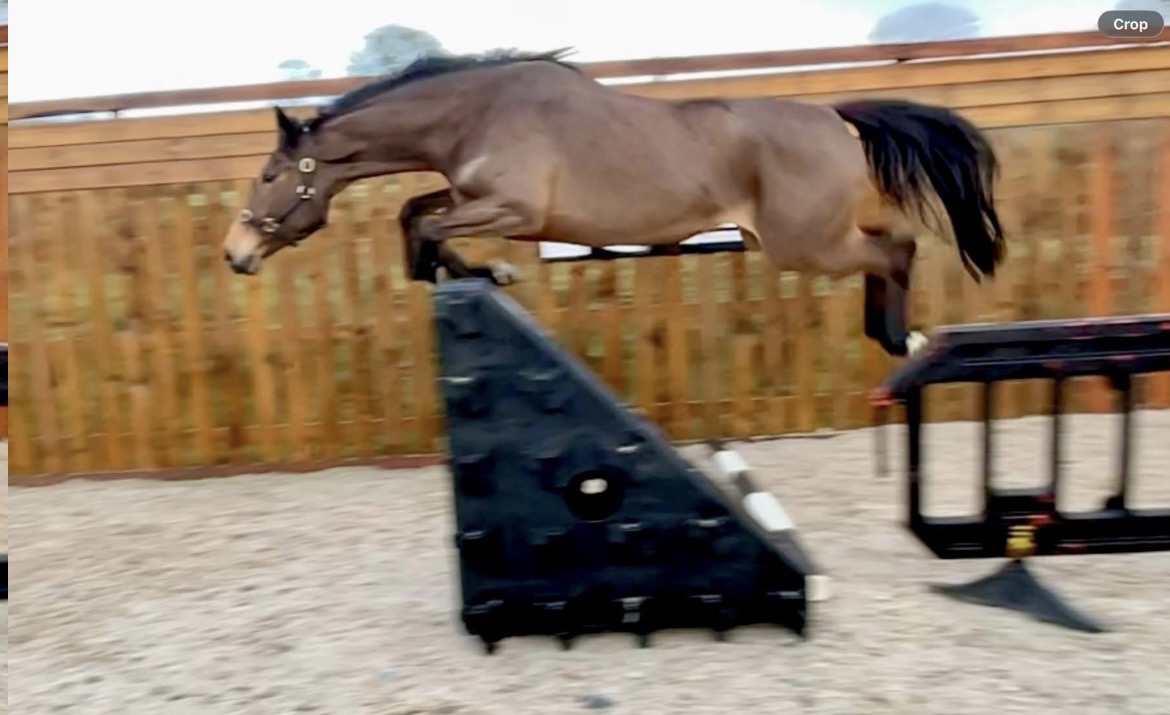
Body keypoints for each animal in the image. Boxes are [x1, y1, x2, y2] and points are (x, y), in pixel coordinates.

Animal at [221, 49, 1006, 357]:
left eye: (269, 173)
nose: (235, 253)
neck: (480, 113)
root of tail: (836, 118)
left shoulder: (513, 210)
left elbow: (431, 227)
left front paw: (483, 273)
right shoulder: (472, 192)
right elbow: (416, 213)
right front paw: (473, 275)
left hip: (805, 244)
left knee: (897, 247)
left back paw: (899, 339)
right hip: (819, 236)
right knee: (889, 248)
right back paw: (886, 335)